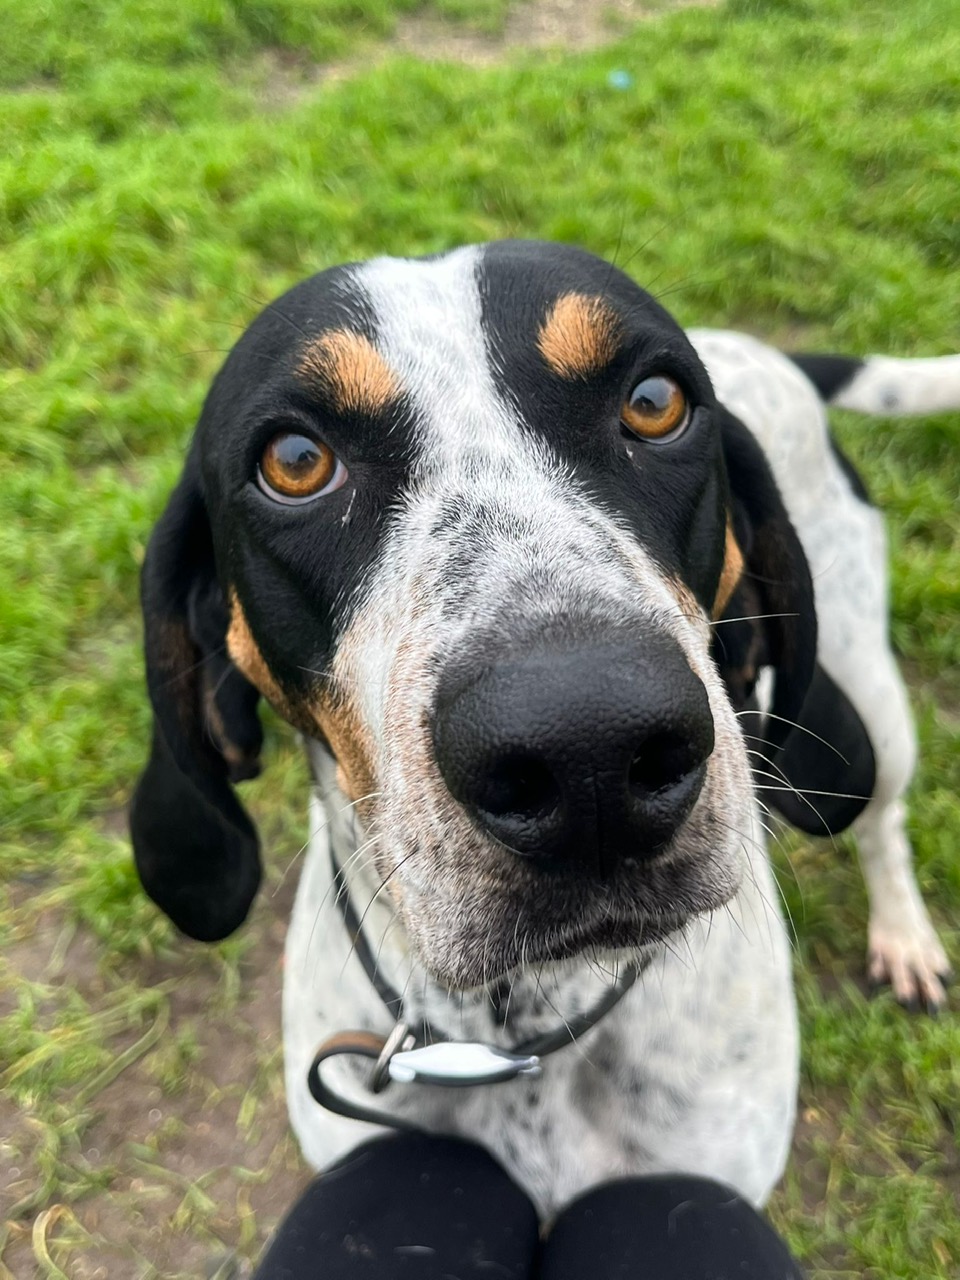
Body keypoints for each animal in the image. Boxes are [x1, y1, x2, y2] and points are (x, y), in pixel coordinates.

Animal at [129, 241, 960, 1218]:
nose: (587, 748)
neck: (511, 1033)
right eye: (294, 460)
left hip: (870, 693)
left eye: (655, 402)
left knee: (882, 822)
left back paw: (905, 937)